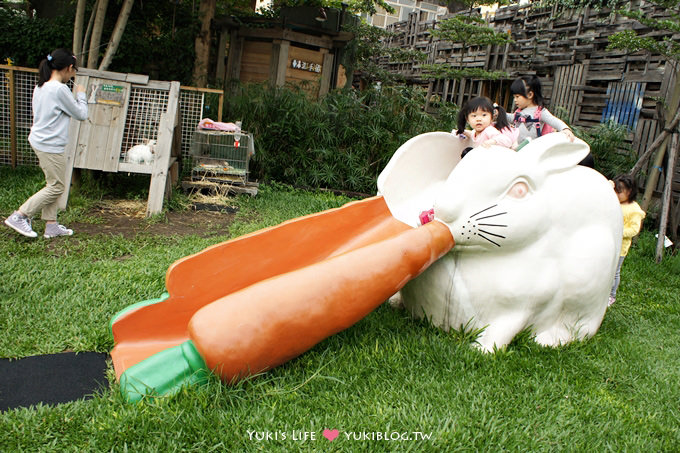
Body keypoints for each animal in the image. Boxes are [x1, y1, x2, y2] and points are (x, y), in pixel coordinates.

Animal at [388, 132, 620, 352]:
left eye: (519, 190)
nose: (446, 212)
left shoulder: (524, 306)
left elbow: (501, 330)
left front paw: (482, 350)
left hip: (588, 277)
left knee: (579, 326)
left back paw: (548, 340)